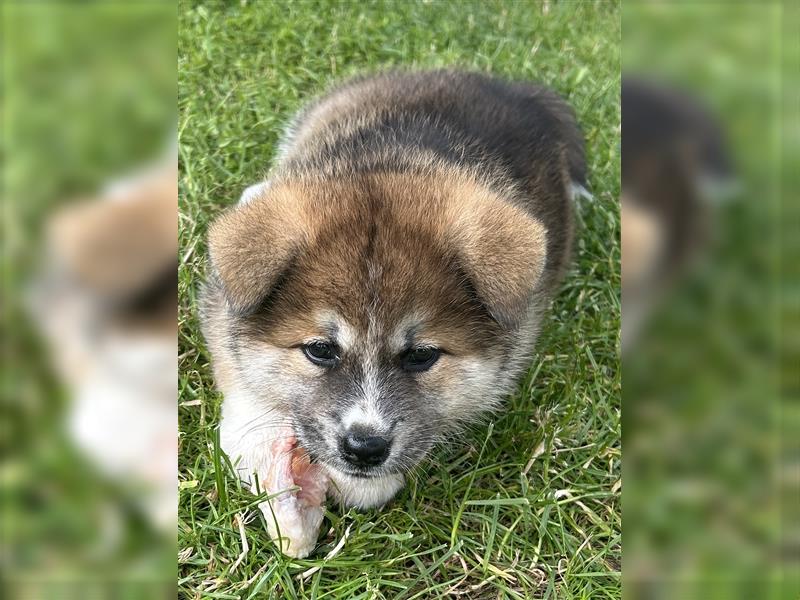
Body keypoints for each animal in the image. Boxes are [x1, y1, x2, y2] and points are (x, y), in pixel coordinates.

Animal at [200, 70, 588, 556]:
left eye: (421, 355)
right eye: (320, 350)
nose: (364, 448)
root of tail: (515, 90)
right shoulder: (221, 314)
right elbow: (244, 392)